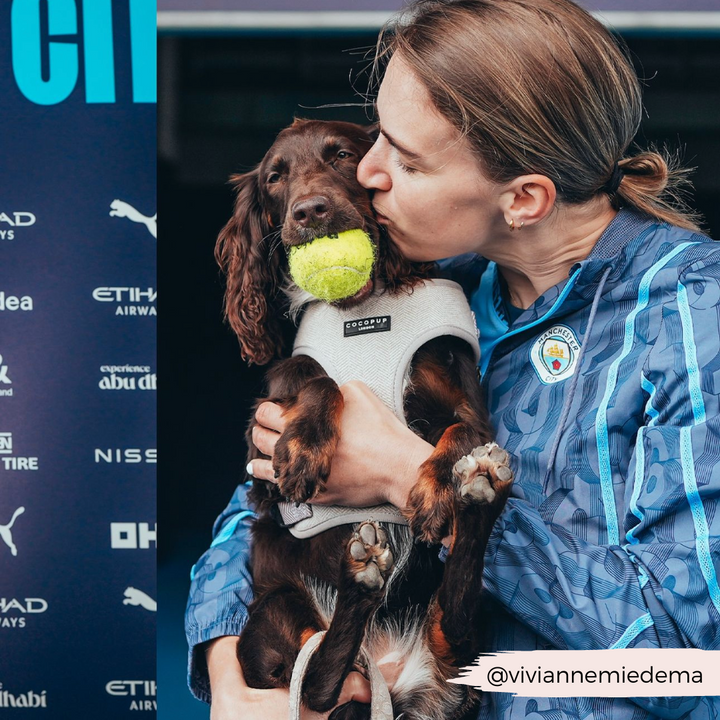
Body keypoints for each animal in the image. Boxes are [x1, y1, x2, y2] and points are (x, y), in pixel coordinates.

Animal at [214, 119, 512, 720]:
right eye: (275, 177)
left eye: (344, 156)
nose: (309, 210)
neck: (365, 308)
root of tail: (388, 673)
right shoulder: (269, 411)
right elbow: (320, 379)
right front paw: (304, 449)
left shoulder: (466, 402)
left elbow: (460, 430)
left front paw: (433, 491)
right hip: (273, 609)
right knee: (314, 681)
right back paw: (362, 582)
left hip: (463, 646)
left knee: (455, 621)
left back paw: (476, 497)